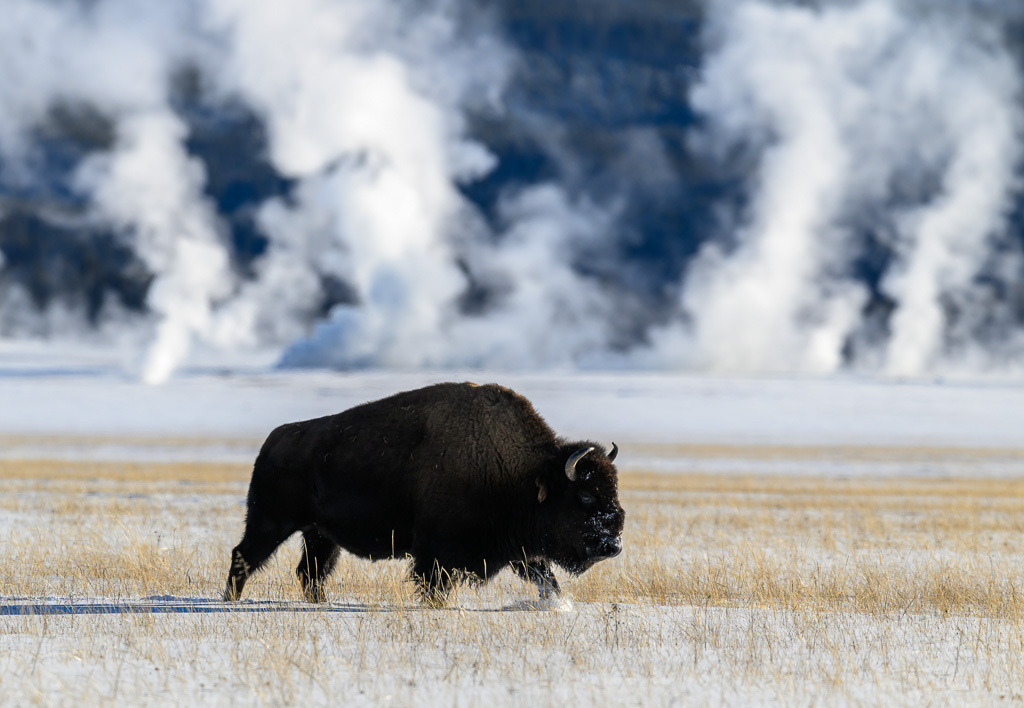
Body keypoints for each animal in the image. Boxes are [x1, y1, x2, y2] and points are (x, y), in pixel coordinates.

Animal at [223, 382, 624, 606]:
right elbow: (433, 584)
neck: (525, 472)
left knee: (311, 572)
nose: (613, 545)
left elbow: (545, 579)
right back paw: (229, 600)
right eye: (585, 497)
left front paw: (559, 605)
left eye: (613, 491)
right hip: (270, 522)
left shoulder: (521, 549)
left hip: (320, 534)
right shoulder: (437, 553)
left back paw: (320, 604)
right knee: (244, 556)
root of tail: (273, 441)